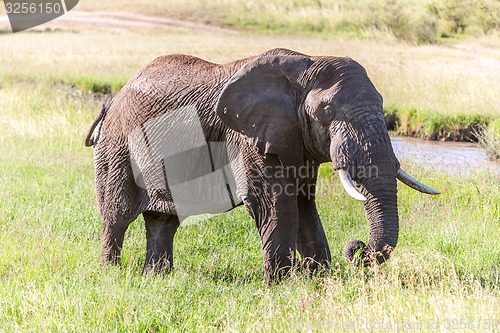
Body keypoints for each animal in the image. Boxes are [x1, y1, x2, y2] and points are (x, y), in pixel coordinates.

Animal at [87, 48, 442, 282]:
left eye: (382, 106)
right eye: (327, 112)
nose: (356, 247)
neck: (306, 65)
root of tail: (115, 97)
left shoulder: (294, 137)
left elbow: (303, 204)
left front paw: (317, 280)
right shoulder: (248, 137)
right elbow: (275, 203)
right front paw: (283, 284)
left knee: (163, 221)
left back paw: (158, 277)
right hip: (118, 148)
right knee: (118, 214)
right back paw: (109, 273)